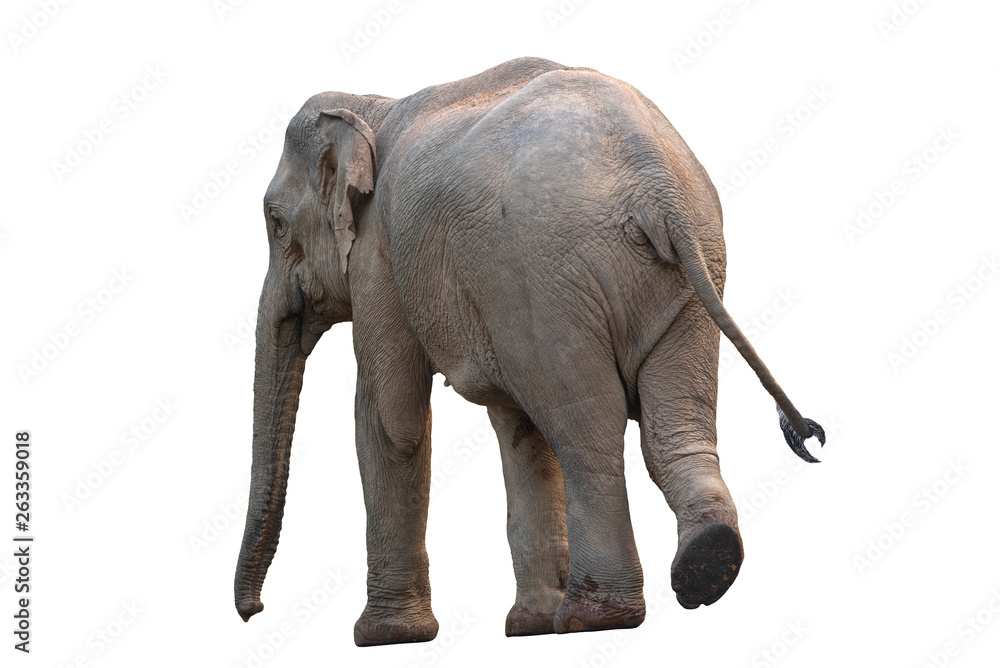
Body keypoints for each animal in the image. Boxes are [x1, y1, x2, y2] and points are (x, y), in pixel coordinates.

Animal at [234, 57, 825, 646]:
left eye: (275, 223)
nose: (253, 612)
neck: (371, 105)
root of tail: (654, 181)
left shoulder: (379, 255)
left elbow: (392, 419)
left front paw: (384, 637)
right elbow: (519, 433)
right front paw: (528, 627)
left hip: (544, 275)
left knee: (584, 430)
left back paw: (595, 618)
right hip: (687, 273)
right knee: (668, 424)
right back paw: (704, 564)